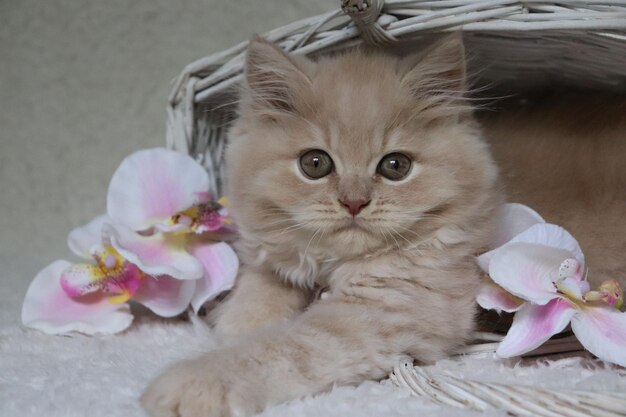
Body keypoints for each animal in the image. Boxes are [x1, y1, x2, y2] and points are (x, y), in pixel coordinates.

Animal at [140, 35, 498, 416]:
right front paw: (232, 330)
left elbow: (283, 347)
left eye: (396, 166)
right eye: (315, 163)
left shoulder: (384, 308)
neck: (332, 265)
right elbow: (255, 301)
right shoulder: (272, 267)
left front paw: (196, 381)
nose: (354, 202)